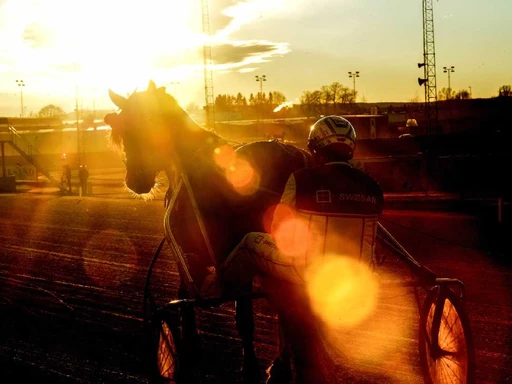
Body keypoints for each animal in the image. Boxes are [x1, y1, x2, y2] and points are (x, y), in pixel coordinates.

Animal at [104, 81, 312, 380]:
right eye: (124, 129)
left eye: (150, 123)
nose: (136, 179)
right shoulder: (197, 258)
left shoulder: (210, 258)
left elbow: (229, 316)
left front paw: (246, 366)